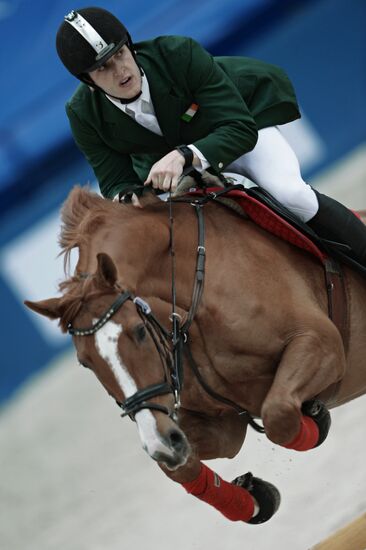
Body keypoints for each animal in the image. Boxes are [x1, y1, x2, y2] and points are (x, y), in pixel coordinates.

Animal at [25, 185, 366, 528]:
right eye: (85, 362)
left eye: (139, 330)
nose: (159, 443)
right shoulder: (222, 421)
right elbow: (180, 467)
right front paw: (257, 499)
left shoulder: (321, 342)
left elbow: (278, 415)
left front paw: (318, 419)